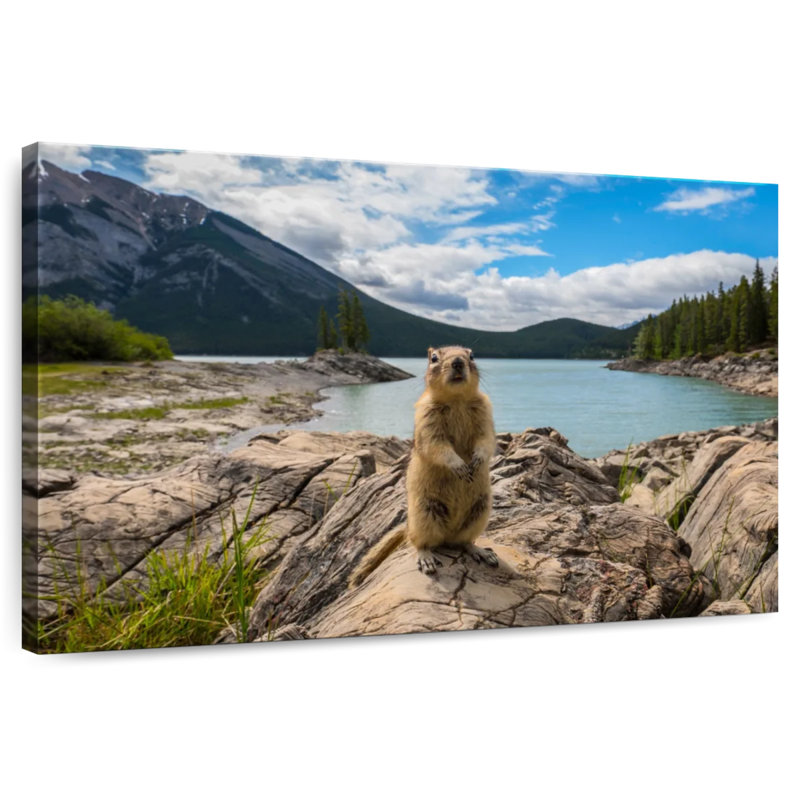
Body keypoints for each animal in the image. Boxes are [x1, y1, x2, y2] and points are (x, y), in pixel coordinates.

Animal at [349, 345, 498, 587]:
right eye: (434, 358)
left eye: (472, 355)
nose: (458, 362)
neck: (456, 400)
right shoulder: (427, 417)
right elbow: (437, 445)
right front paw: (460, 466)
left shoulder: (485, 412)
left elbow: (486, 440)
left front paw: (477, 461)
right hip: (424, 513)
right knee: (420, 543)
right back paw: (426, 558)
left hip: (480, 511)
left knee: (464, 542)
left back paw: (481, 552)